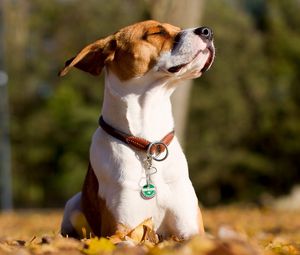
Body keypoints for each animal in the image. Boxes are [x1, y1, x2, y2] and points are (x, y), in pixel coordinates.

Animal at [59, 19, 213, 239]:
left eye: (177, 28)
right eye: (156, 32)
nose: (207, 31)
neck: (148, 141)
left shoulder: (192, 229)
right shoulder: (121, 230)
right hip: (72, 206)